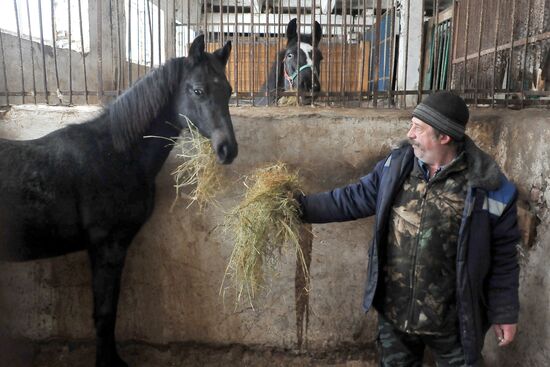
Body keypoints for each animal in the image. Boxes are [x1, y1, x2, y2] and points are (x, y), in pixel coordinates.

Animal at [0, 35, 237, 367]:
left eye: (228, 91)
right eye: (198, 90)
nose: (228, 149)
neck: (116, 155)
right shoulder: (108, 246)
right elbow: (105, 313)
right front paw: (108, 362)